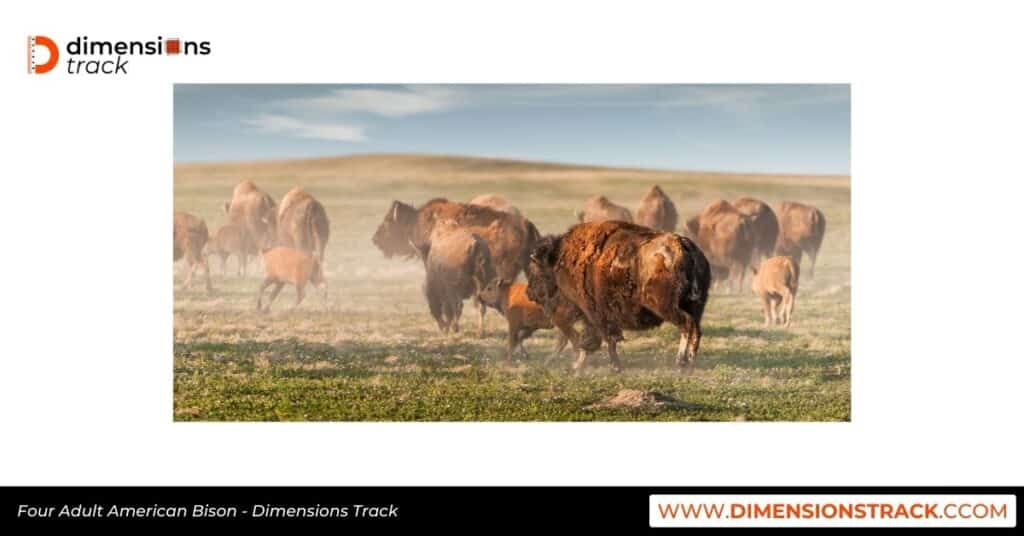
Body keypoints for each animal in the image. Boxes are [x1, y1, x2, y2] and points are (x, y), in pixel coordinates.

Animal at [524, 222, 708, 373]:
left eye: (535, 270)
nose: (530, 293)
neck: (559, 259)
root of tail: (682, 246)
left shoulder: (593, 314)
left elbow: (601, 339)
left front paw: (612, 366)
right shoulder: (590, 316)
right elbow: (593, 340)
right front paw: (579, 365)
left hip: (667, 307)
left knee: (687, 326)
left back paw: (681, 363)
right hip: (695, 307)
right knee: (696, 330)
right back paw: (690, 362)